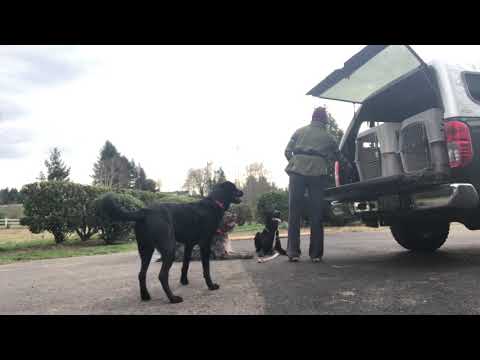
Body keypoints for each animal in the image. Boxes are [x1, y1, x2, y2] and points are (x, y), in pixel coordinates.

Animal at [96, 181, 244, 302]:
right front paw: (211, 285)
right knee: (162, 275)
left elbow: (185, 265)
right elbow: (206, 268)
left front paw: (184, 281)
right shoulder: (205, 244)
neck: (214, 202)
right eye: (234, 188)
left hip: (146, 250)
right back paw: (173, 298)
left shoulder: (189, 245)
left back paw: (145, 296)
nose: (242, 191)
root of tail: (144, 211)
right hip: (168, 249)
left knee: (141, 274)